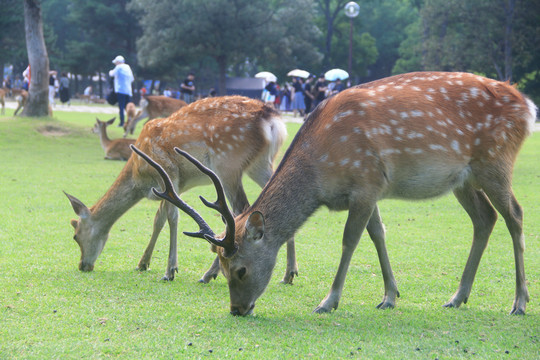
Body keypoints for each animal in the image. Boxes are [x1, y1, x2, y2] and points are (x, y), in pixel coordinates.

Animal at [67, 95, 298, 284]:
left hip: (227, 163)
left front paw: (169, 270)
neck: (138, 176)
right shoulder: (172, 186)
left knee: (240, 211)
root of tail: (272, 121)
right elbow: (159, 218)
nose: (82, 265)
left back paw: (209, 274)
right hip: (260, 164)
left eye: (76, 235)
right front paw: (143, 263)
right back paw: (289, 274)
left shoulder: (168, 173)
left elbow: (172, 217)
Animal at [136, 71, 536, 316]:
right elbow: (378, 234)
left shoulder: (365, 182)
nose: (237, 309)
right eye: (220, 265)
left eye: (240, 269)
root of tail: (527, 104)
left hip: (495, 161)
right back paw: (457, 296)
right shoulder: (371, 187)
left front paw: (328, 300)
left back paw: (519, 301)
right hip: (464, 179)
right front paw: (390, 295)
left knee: (515, 215)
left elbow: (350, 240)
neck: (322, 171)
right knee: (485, 218)